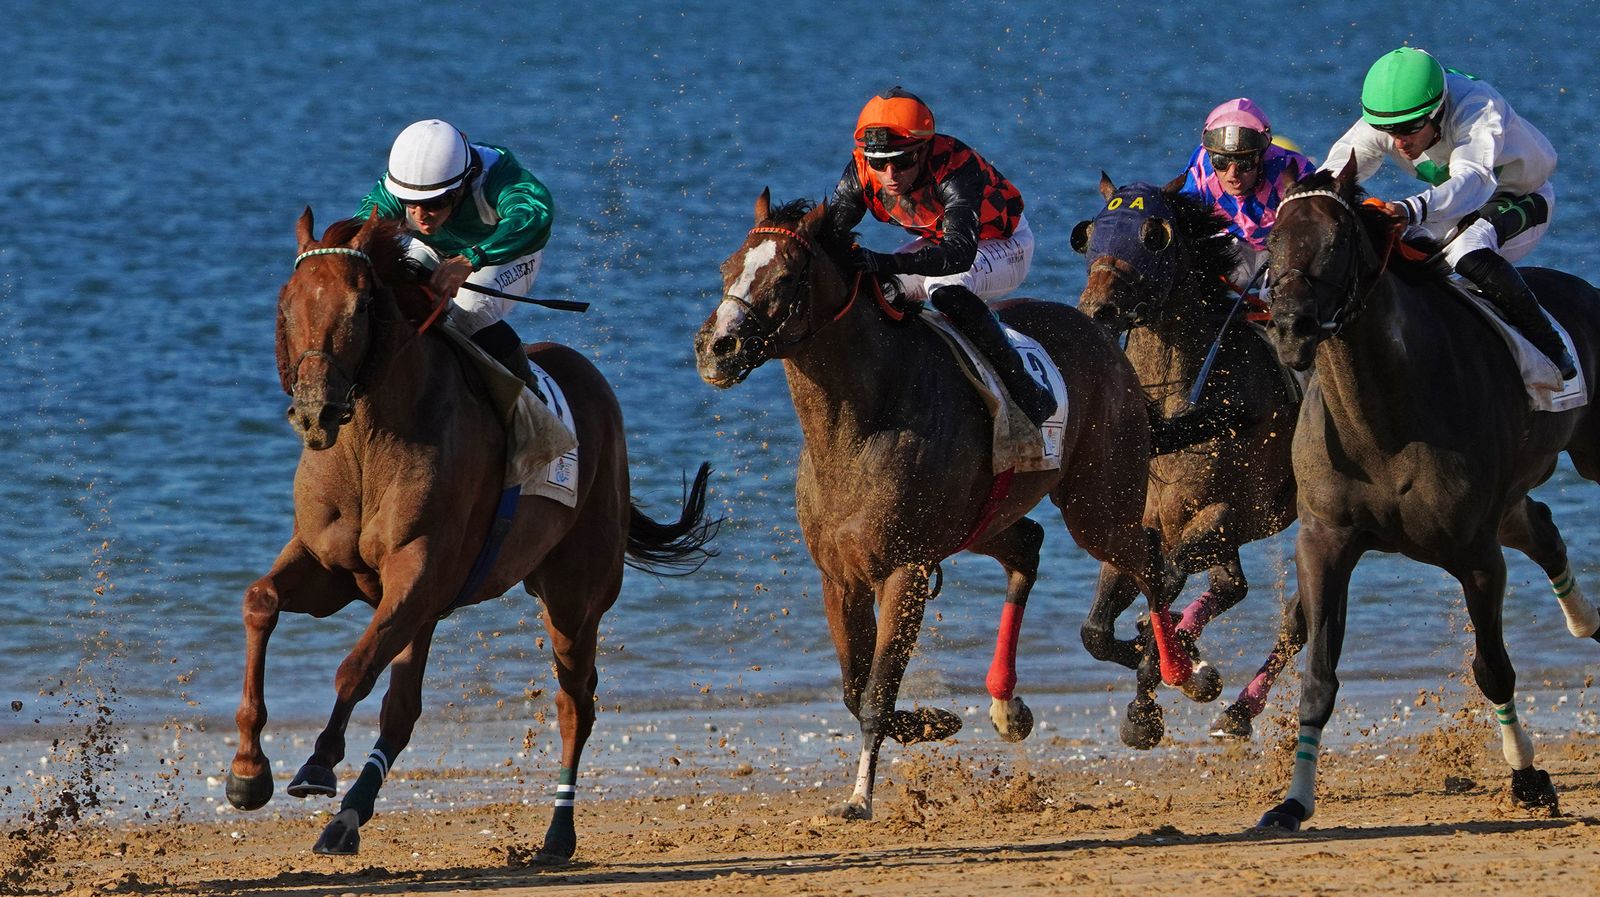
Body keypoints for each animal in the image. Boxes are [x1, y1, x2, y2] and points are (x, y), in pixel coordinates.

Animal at [225, 210, 718, 862]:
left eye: (361, 305)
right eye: (287, 303)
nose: (314, 411)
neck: (369, 445)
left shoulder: (417, 571)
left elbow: (352, 669)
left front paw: (318, 763)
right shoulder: (330, 568)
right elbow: (260, 603)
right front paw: (247, 771)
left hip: (573, 597)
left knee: (575, 704)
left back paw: (558, 833)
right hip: (435, 610)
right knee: (403, 710)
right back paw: (349, 817)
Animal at [692, 190, 1192, 820]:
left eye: (784, 276)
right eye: (727, 268)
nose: (716, 347)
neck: (859, 424)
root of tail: (1105, 338)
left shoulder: (905, 569)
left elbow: (876, 693)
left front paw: (860, 796)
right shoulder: (840, 576)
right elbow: (854, 688)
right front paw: (931, 721)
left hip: (1096, 502)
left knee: (1147, 558)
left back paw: (1173, 677)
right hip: (986, 520)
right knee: (1030, 547)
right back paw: (1009, 703)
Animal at [1073, 174, 1300, 748]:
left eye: (1154, 236)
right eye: (1090, 233)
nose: (1097, 310)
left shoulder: (1224, 515)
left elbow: (1168, 578)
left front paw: (1170, 675)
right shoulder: (1143, 521)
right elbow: (1095, 632)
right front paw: (1169, 666)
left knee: (1293, 618)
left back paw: (1238, 707)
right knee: (1232, 586)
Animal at [1256, 159, 1600, 831]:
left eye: (1337, 242)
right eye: (1273, 239)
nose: (1289, 327)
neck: (1381, 426)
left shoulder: (1476, 554)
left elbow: (1492, 669)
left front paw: (1529, 779)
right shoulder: (1325, 542)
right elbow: (1317, 677)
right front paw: (1292, 802)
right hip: (1510, 499)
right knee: (1542, 528)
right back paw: (1585, 619)